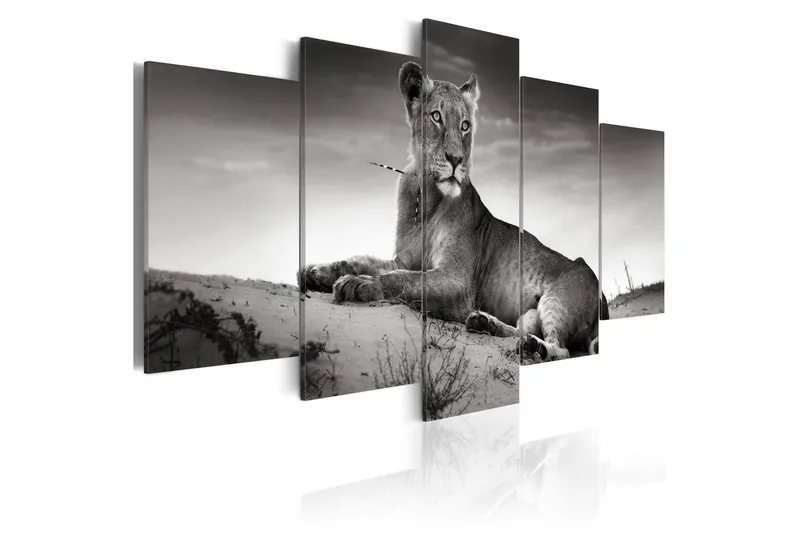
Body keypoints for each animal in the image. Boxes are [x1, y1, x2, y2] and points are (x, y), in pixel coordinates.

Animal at [300, 62, 608, 361]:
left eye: (465, 125)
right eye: (436, 117)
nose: (456, 159)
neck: (425, 195)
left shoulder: (456, 279)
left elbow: (403, 280)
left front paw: (358, 284)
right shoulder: (405, 259)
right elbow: (361, 259)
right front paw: (320, 272)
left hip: (557, 300)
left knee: (561, 349)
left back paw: (534, 348)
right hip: (529, 313)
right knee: (524, 331)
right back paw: (485, 323)